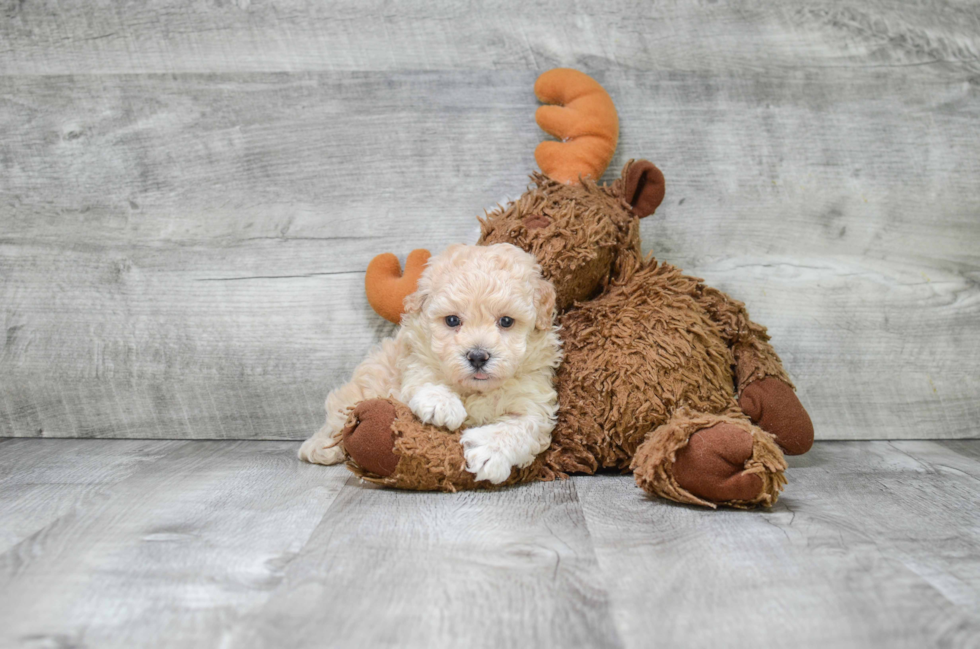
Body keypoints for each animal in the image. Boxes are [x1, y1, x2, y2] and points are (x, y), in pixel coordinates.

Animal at [296, 242, 560, 480]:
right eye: (452, 320)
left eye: (506, 321)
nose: (477, 356)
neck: (475, 390)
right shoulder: (414, 357)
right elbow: (424, 375)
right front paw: (440, 403)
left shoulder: (533, 398)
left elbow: (525, 425)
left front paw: (490, 451)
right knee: (337, 415)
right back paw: (319, 447)